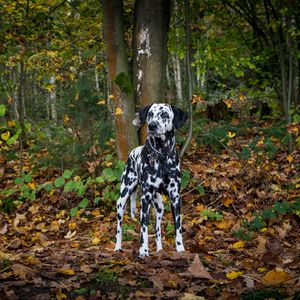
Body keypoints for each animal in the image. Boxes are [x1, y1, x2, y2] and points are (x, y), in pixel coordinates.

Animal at [114, 102, 188, 255]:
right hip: (123, 198)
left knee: (158, 229)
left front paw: (180, 249)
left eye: (164, 114)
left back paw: (160, 250)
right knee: (119, 227)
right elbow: (144, 229)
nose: (152, 125)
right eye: (150, 114)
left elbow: (177, 228)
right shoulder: (146, 198)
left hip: (159, 207)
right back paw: (117, 247)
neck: (161, 156)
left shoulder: (175, 198)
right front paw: (143, 251)